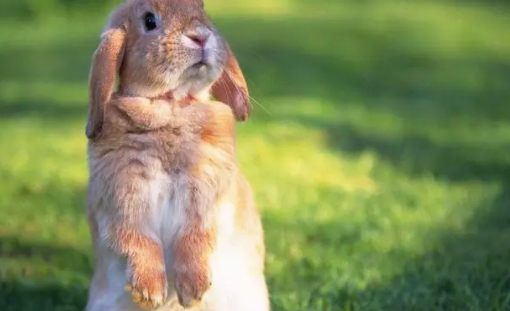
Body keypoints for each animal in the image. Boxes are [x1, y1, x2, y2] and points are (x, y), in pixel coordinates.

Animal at [84, 0, 270, 311]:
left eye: (202, 8)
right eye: (149, 20)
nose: (201, 36)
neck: (170, 106)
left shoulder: (207, 197)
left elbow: (195, 237)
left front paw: (193, 290)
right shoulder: (122, 200)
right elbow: (138, 240)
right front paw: (150, 293)